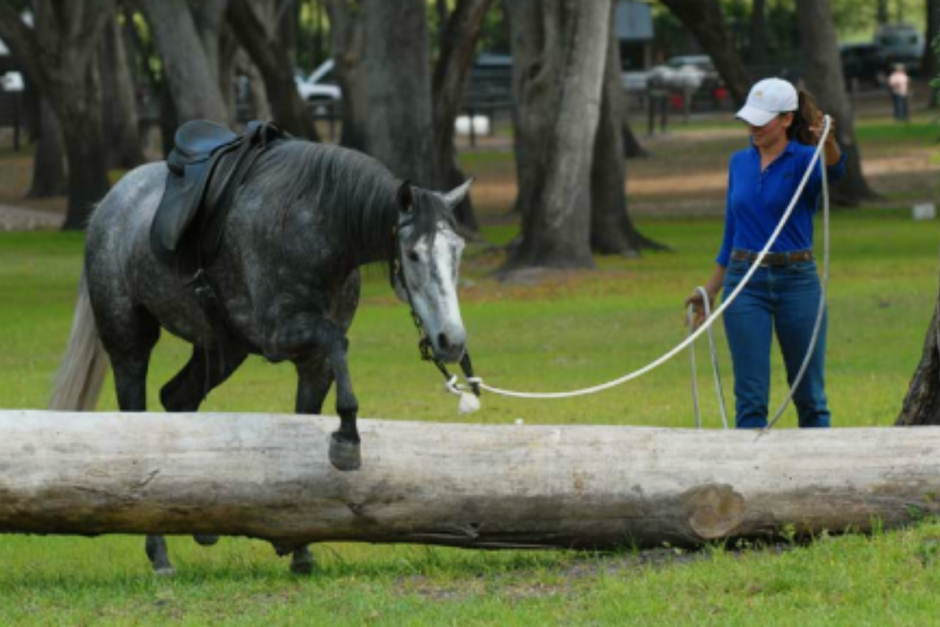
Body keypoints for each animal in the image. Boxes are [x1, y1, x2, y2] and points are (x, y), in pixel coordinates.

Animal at [49, 136, 473, 575]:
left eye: (458, 250)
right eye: (413, 254)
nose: (452, 341)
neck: (317, 226)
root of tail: (107, 207)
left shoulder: (312, 362)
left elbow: (308, 410)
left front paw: (300, 548)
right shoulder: (280, 336)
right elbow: (338, 343)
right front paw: (348, 440)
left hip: (221, 349)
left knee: (177, 398)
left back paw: (200, 527)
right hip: (129, 345)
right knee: (137, 418)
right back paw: (160, 554)